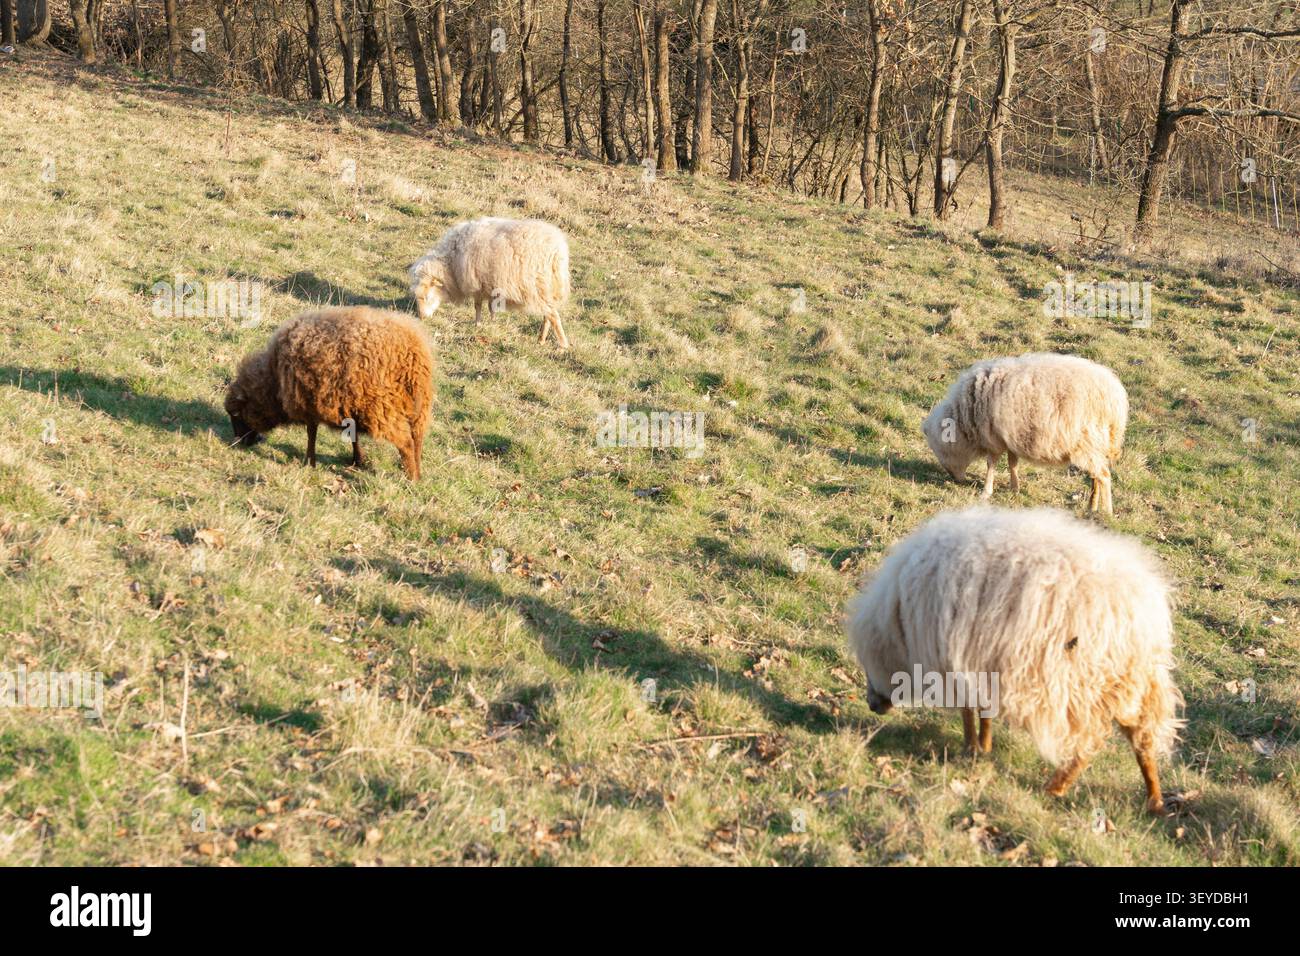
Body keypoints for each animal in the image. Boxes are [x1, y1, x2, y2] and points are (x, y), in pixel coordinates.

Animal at [224, 306, 434, 480]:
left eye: (236, 414)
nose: (237, 444)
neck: (274, 379)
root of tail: (410, 349)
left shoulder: (308, 404)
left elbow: (312, 433)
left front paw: (309, 462)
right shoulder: (349, 408)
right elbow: (353, 436)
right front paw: (358, 460)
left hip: (382, 409)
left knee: (406, 443)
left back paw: (412, 478)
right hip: (419, 408)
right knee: (417, 441)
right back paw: (417, 471)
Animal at [408, 217, 573, 348]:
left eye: (427, 297)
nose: (421, 318)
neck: (451, 264)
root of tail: (558, 252)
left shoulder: (476, 284)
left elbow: (478, 306)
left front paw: (478, 324)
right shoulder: (488, 286)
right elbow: (490, 306)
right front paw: (491, 322)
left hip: (538, 286)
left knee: (553, 315)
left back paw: (563, 345)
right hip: (546, 288)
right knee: (548, 314)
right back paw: (541, 340)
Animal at [846, 505, 1182, 814]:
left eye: (867, 663)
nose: (872, 705)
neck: (900, 619)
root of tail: (1145, 614)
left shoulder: (955, 659)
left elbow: (968, 709)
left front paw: (971, 748)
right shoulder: (980, 659)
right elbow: (983, 708)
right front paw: (984, 746)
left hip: (1083, 682)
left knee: (1092, 739)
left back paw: (1056, 787)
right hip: (1130, 683)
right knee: (1142, 738)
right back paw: (1154, 799)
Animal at [922, 352, 1128, 514]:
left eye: (940, 451)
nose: (955, 480)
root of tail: (1116, 399)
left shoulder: (993, 438)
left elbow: (991, 465)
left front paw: (986, 492)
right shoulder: (1009, 436)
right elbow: (1012, 462)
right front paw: (1015, 487)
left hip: (1087, 443)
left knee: (1104, 476)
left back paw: (1107, 512)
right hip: (1095, 446)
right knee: (1096, 479)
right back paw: (1091, 507)